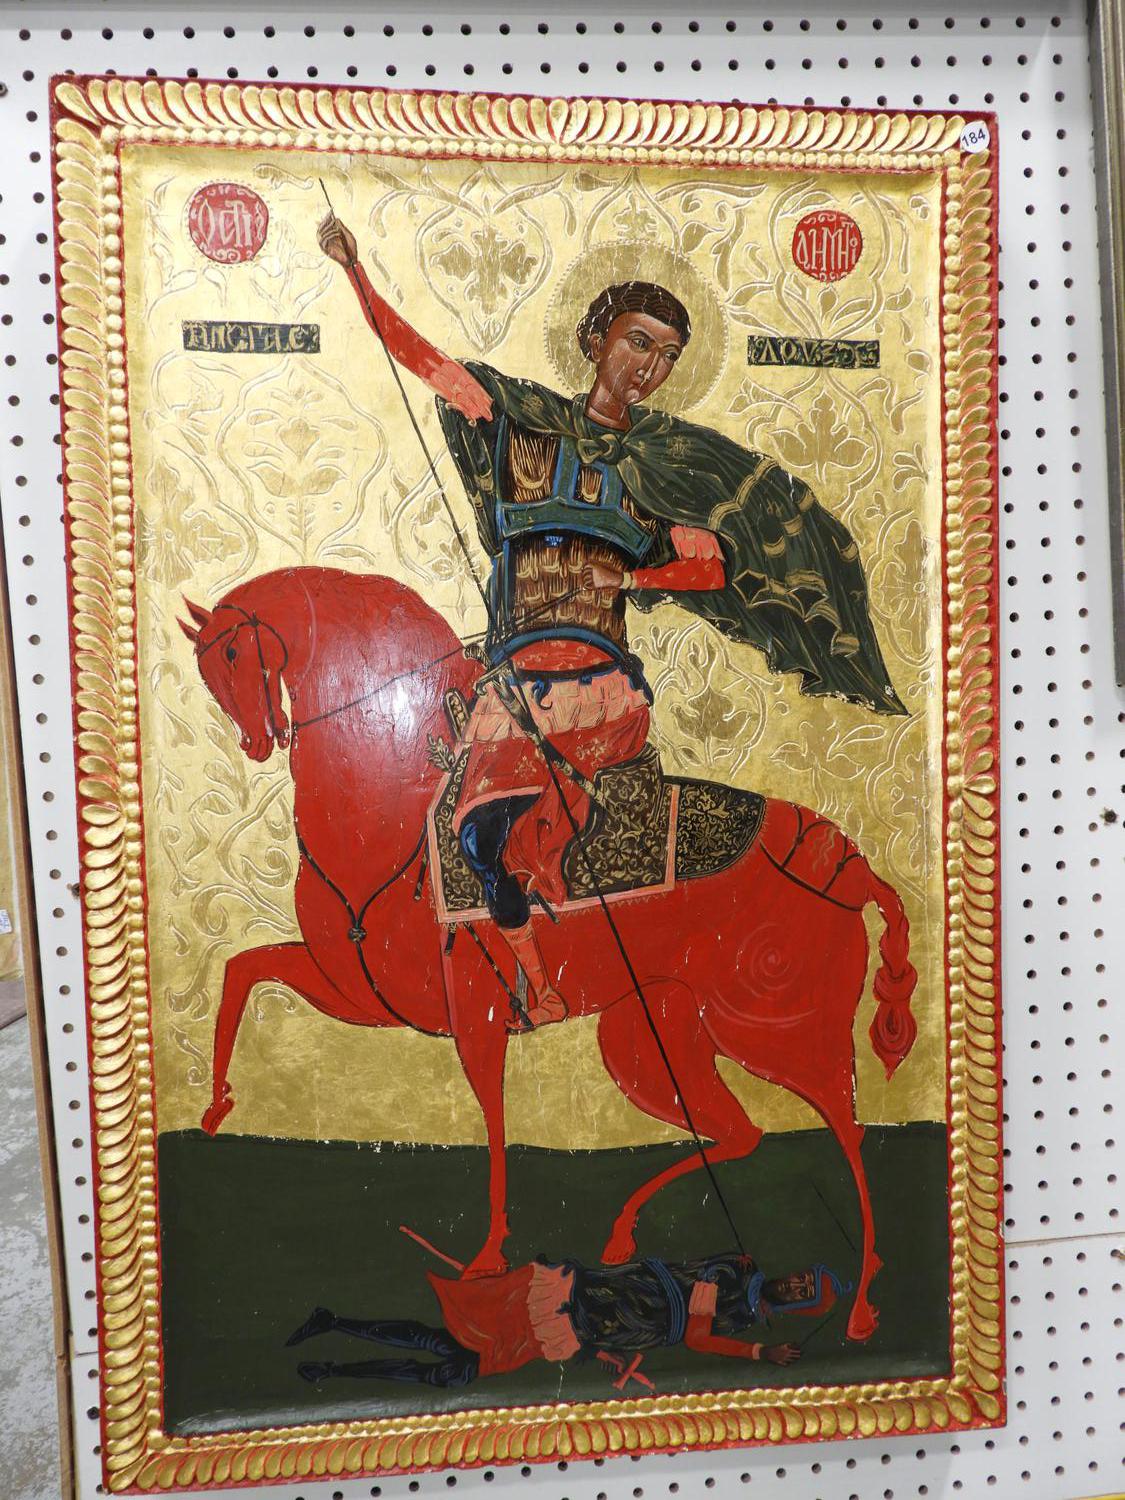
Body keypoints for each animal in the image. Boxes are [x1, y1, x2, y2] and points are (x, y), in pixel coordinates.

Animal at [179, 565, 919, 1341]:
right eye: (211, 668)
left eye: (232, 653)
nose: (255, 741)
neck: (388, 801)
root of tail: (843, 863)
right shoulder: (361, 990)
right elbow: (242, 970)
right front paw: (216, 1105)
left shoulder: (474, 1015)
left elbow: (495, 1125)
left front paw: (485, 1260)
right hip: (643, 1037)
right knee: (740, 1133)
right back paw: (624, 1237)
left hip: (774, 1026)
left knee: (847, 1129)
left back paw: (863, 1303)